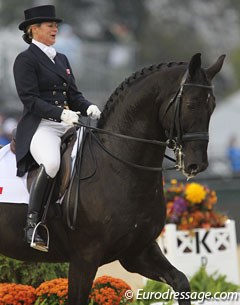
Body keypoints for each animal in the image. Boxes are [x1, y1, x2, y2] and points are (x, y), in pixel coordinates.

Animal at [0, 53, 225, 302]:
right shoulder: (84, 258)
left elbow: (181, 281)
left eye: (213, 106)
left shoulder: (138, 252)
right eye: (191, 104)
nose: (197, 164)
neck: (118, 166)